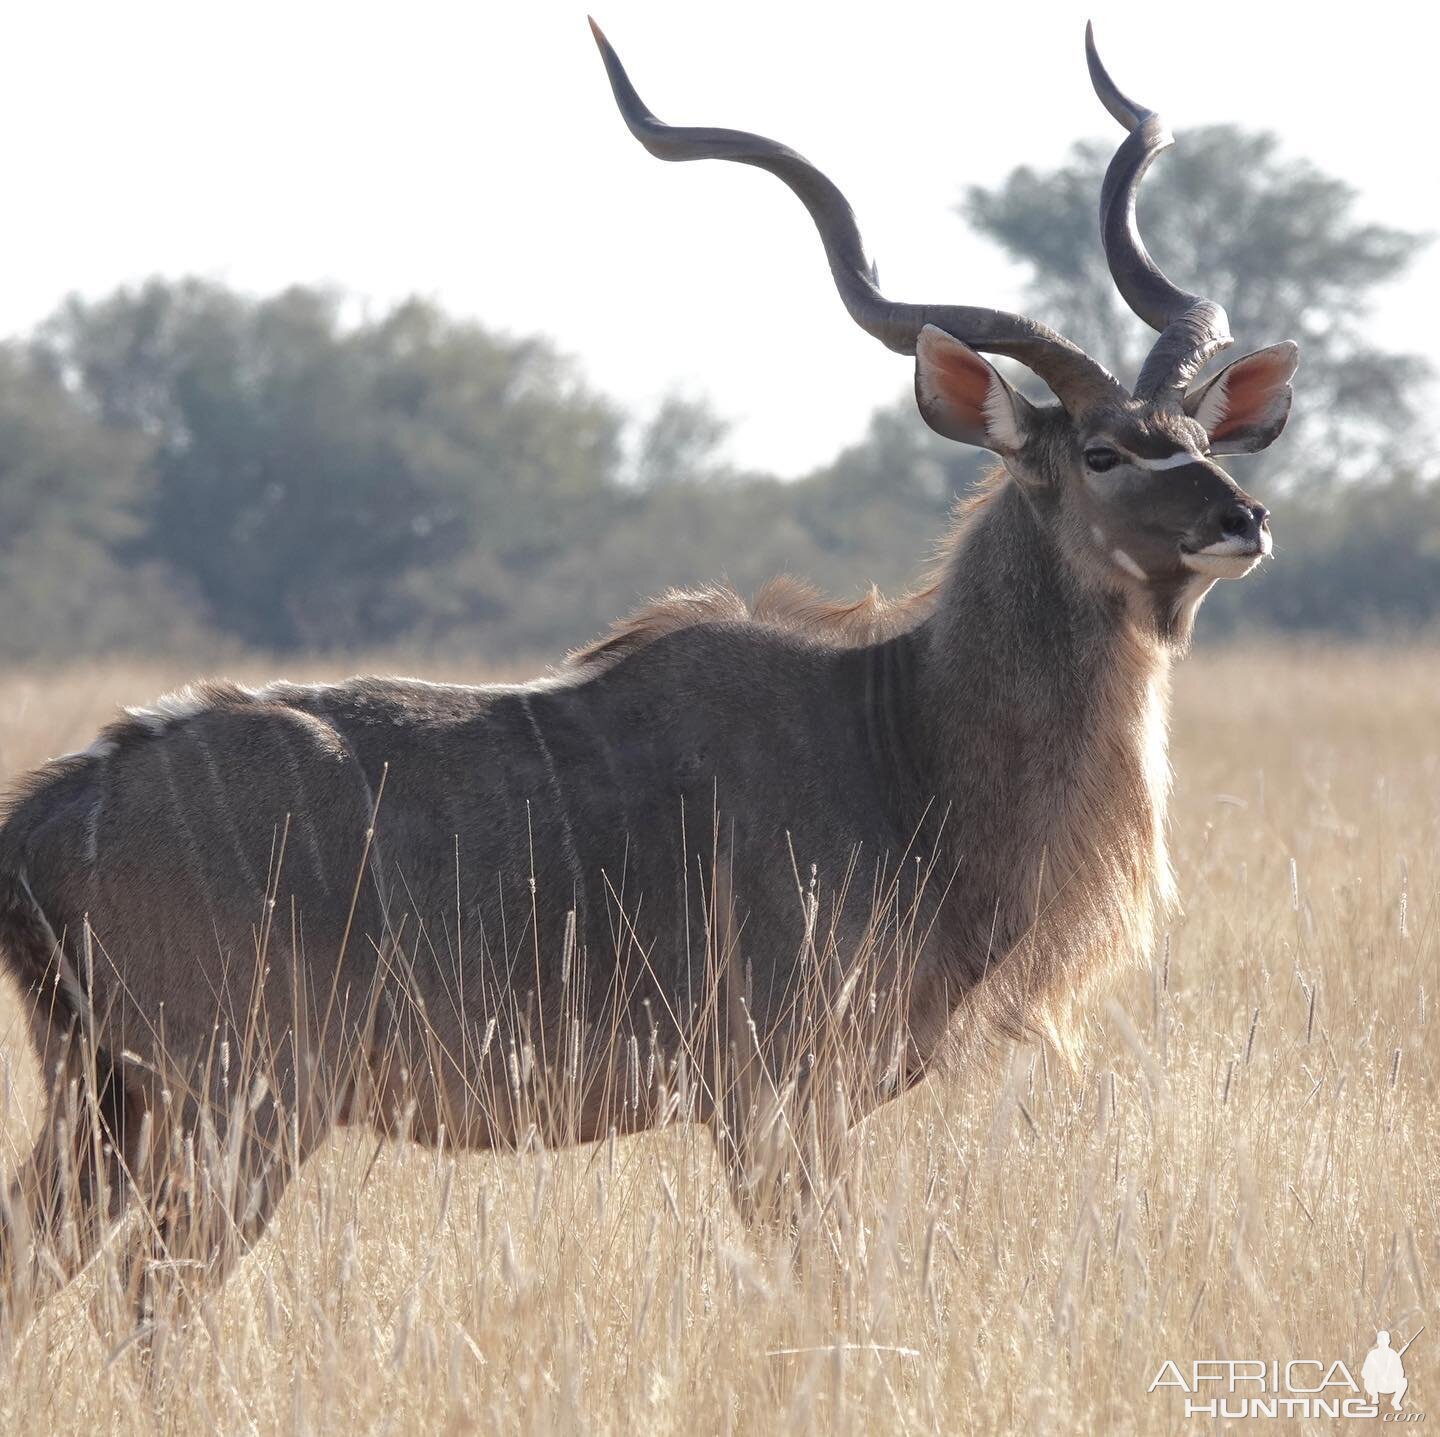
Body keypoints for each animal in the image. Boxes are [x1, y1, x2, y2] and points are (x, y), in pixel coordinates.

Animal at [0, 22, 1296, 1313]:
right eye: (1104, 451)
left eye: (1198, 438)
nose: (1243, 518)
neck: (900, 736)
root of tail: (50, 814)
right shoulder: (776, 1096)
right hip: (244, 1101)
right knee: (155, 1293)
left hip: (112, 1102)